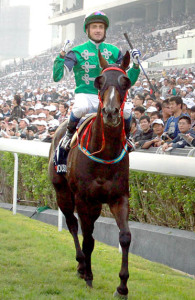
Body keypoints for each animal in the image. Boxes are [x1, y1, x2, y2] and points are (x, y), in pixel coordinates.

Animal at [48, 50, 132, 298]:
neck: (104, 154)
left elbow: (125, 237)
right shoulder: (83, 199)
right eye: (99, 81)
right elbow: (87, 239)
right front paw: (88, 276)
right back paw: (81, 264)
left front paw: (122, 287)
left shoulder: (119, 197)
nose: (111, 112)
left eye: (126, 81)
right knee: (73, 225)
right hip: (63, 193)